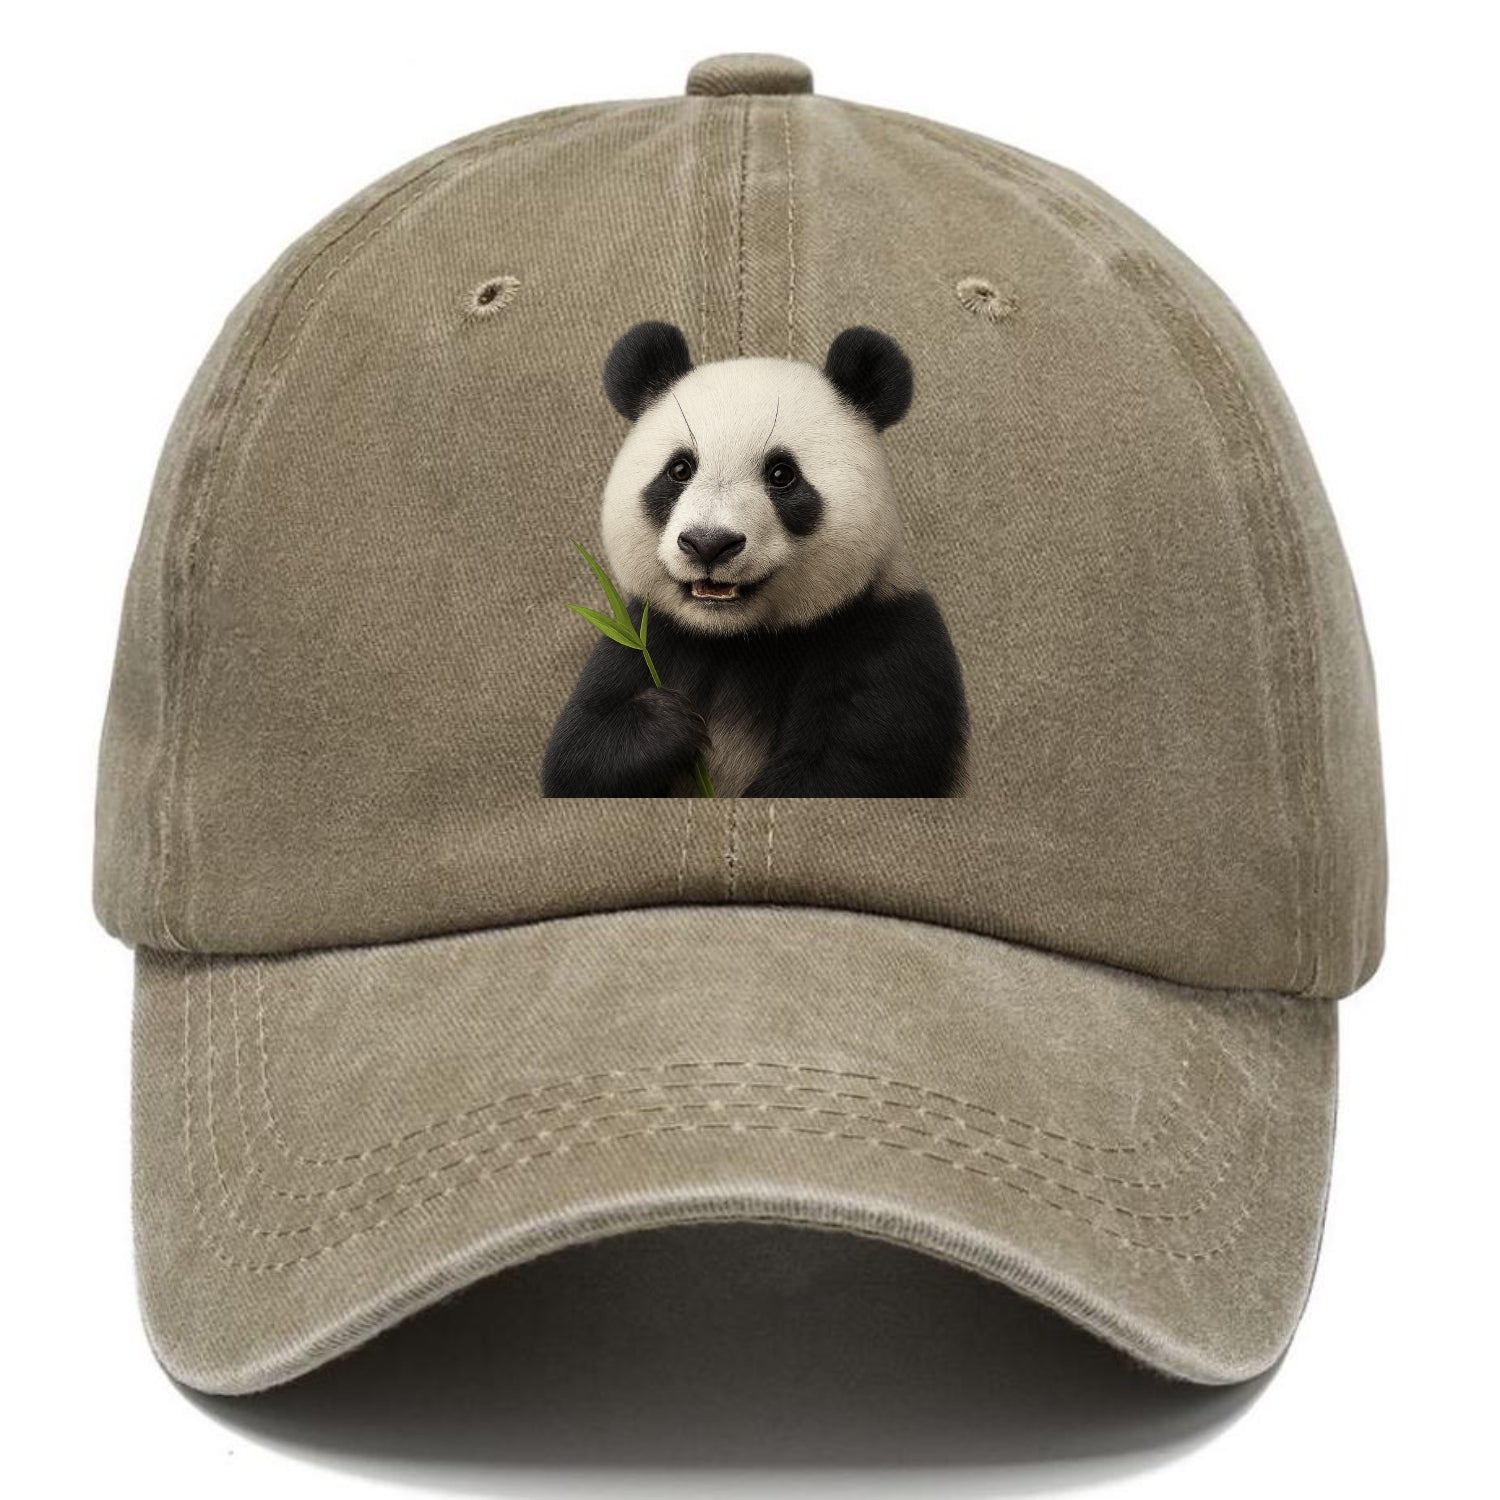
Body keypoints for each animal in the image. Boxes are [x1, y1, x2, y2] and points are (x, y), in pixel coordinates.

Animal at [541, 321, 970, 797]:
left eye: (782, 474)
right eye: (680, 469)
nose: (709, 543)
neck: (738, 640)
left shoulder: (886, 640)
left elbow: (844, 769)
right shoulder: (646, 637)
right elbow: (576, 756)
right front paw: (666, 723)